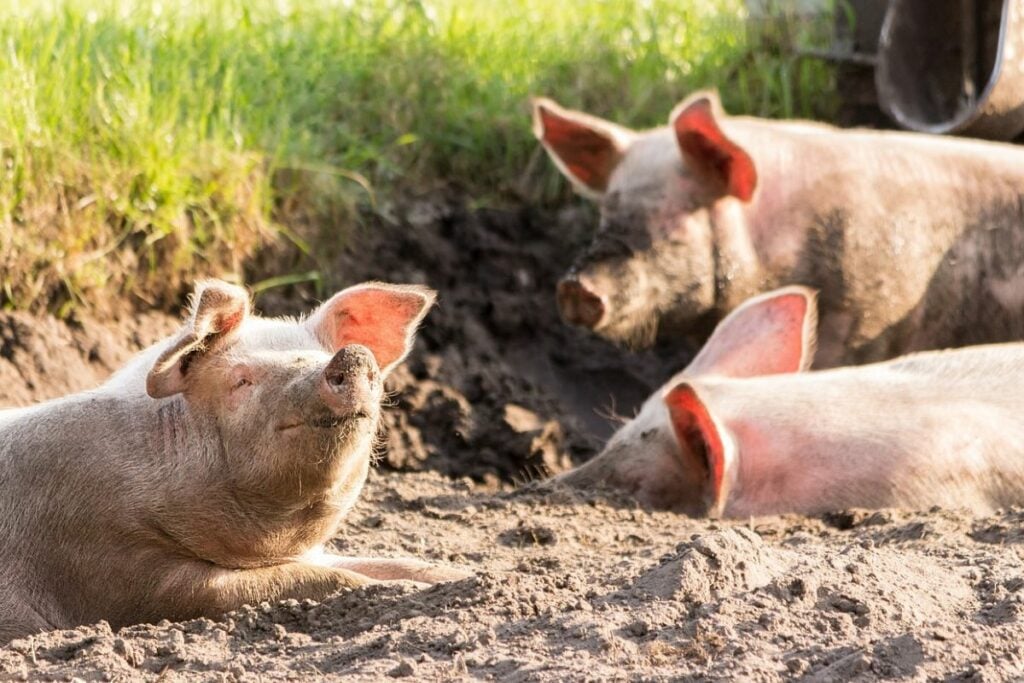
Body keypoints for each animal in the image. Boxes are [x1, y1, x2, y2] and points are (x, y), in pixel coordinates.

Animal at [0, 278, 468, 643]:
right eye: (241, 380)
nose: (352, 356)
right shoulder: (115, 566)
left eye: (321, 355)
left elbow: (393, 562)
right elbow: (315, 580)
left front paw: (463, 576)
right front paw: (398, 589)